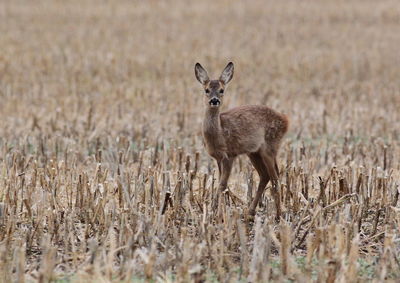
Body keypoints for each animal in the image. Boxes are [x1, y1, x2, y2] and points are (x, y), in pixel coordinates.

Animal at [194, 61, 288, 217]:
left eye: (221, 90)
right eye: (206, 90)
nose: (214, 100)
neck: (219, 133)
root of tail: (286, 120)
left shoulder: (229, 155)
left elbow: (222, 185)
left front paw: (217, 213)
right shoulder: (218, 158)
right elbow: (222, 184)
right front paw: (217, 210)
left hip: (270, 147)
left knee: (275, 179)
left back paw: (278, 215)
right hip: (254, 152)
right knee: (265, 176)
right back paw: (250, 212)